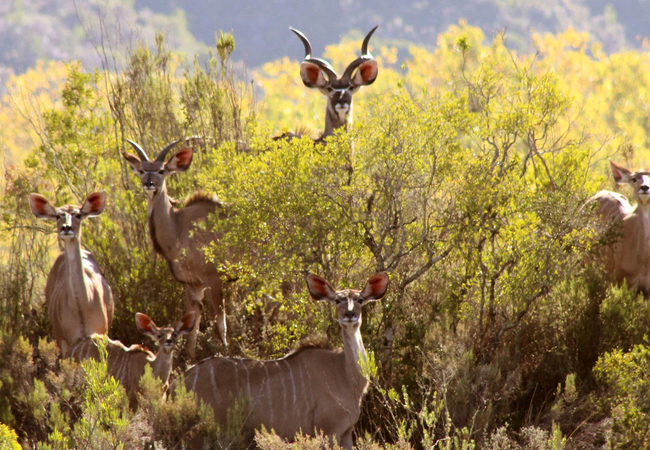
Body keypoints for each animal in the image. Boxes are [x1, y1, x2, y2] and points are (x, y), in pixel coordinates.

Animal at [28, 192, 114, 356]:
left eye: (78, 215)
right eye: (57, 216)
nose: (66, 228)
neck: (82, 306)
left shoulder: (100, 332)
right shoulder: (67, 341)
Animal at [121, 139, 228, 354]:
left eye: (161, 170)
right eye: (142, 170)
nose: (149, 184)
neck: (178, 226)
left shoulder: (215, 280)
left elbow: (220, 327)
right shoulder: (193, 286)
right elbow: (192, 328)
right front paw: (191, 360)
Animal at [180, 272, 388, 448]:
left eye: (360, 300)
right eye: (337, 300)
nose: (350, 315)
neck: (346, 374)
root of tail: (184, 378)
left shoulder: (346, 433)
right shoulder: (328, 431)